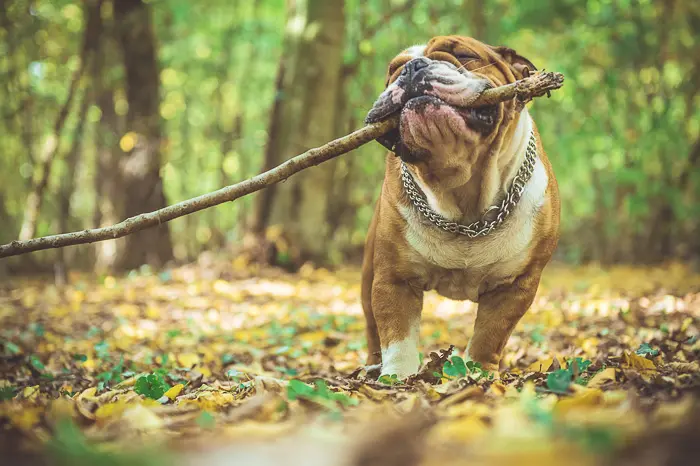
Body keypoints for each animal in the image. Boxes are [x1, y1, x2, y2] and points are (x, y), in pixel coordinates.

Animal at [360, 35, 556, 378]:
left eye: (463, 55)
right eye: (392, 72)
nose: (412, 68)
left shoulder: (516, 285)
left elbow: (490, 336)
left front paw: (479, 374)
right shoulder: (393, 278)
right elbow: (398, 336)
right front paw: (398, 377)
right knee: (373, 327)